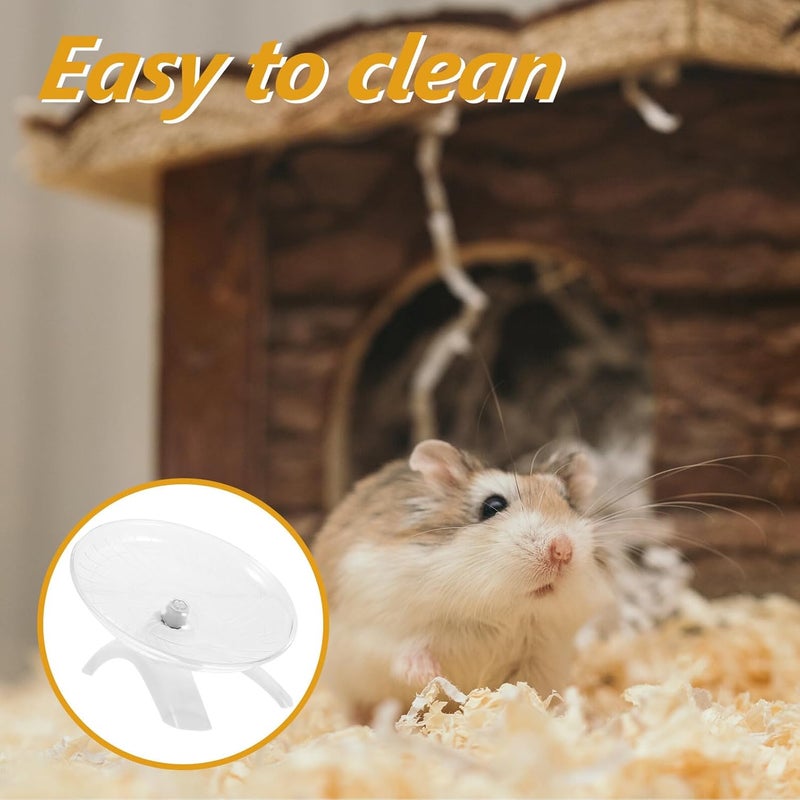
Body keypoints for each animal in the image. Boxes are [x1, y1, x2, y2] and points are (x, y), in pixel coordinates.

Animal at [313, 439, 616, 717]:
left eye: (569, 503)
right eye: (492, 506)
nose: (563, 550)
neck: (503, 612)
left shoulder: (543, 656)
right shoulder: (378, 626)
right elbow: (402, 651)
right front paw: (428, 675)